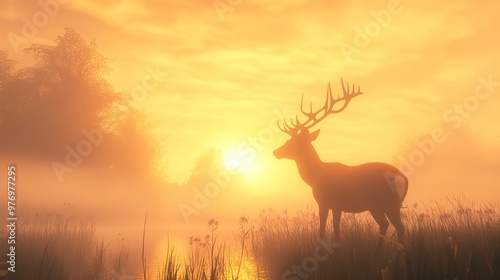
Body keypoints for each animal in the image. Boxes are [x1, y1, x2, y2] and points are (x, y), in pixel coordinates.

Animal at [276, 77, 408, 246]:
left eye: (292, 142)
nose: (275, 152)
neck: (316, 176)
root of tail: (405, 178)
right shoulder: (335, 206)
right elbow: (334, 233)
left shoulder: (328, 202)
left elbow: (327, 233)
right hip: (381, 205)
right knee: (388, 225)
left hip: (387, 203)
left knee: (397, 227)